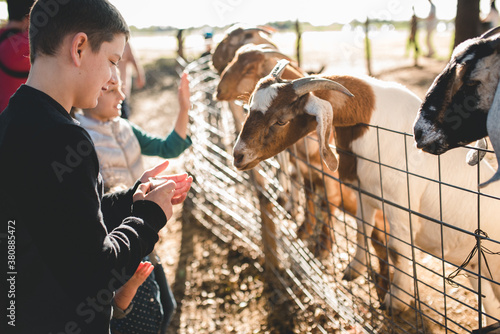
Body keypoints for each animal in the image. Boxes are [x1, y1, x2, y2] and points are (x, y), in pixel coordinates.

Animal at [233, 60, 500, 324]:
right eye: (249, 108)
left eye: (281, 120)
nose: (238, 156)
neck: (375, 123)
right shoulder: (365, 193)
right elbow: (363, 228)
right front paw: (354, 269)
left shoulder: (399, 205)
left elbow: (397, 249)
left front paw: (396, 301)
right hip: (476, 269)